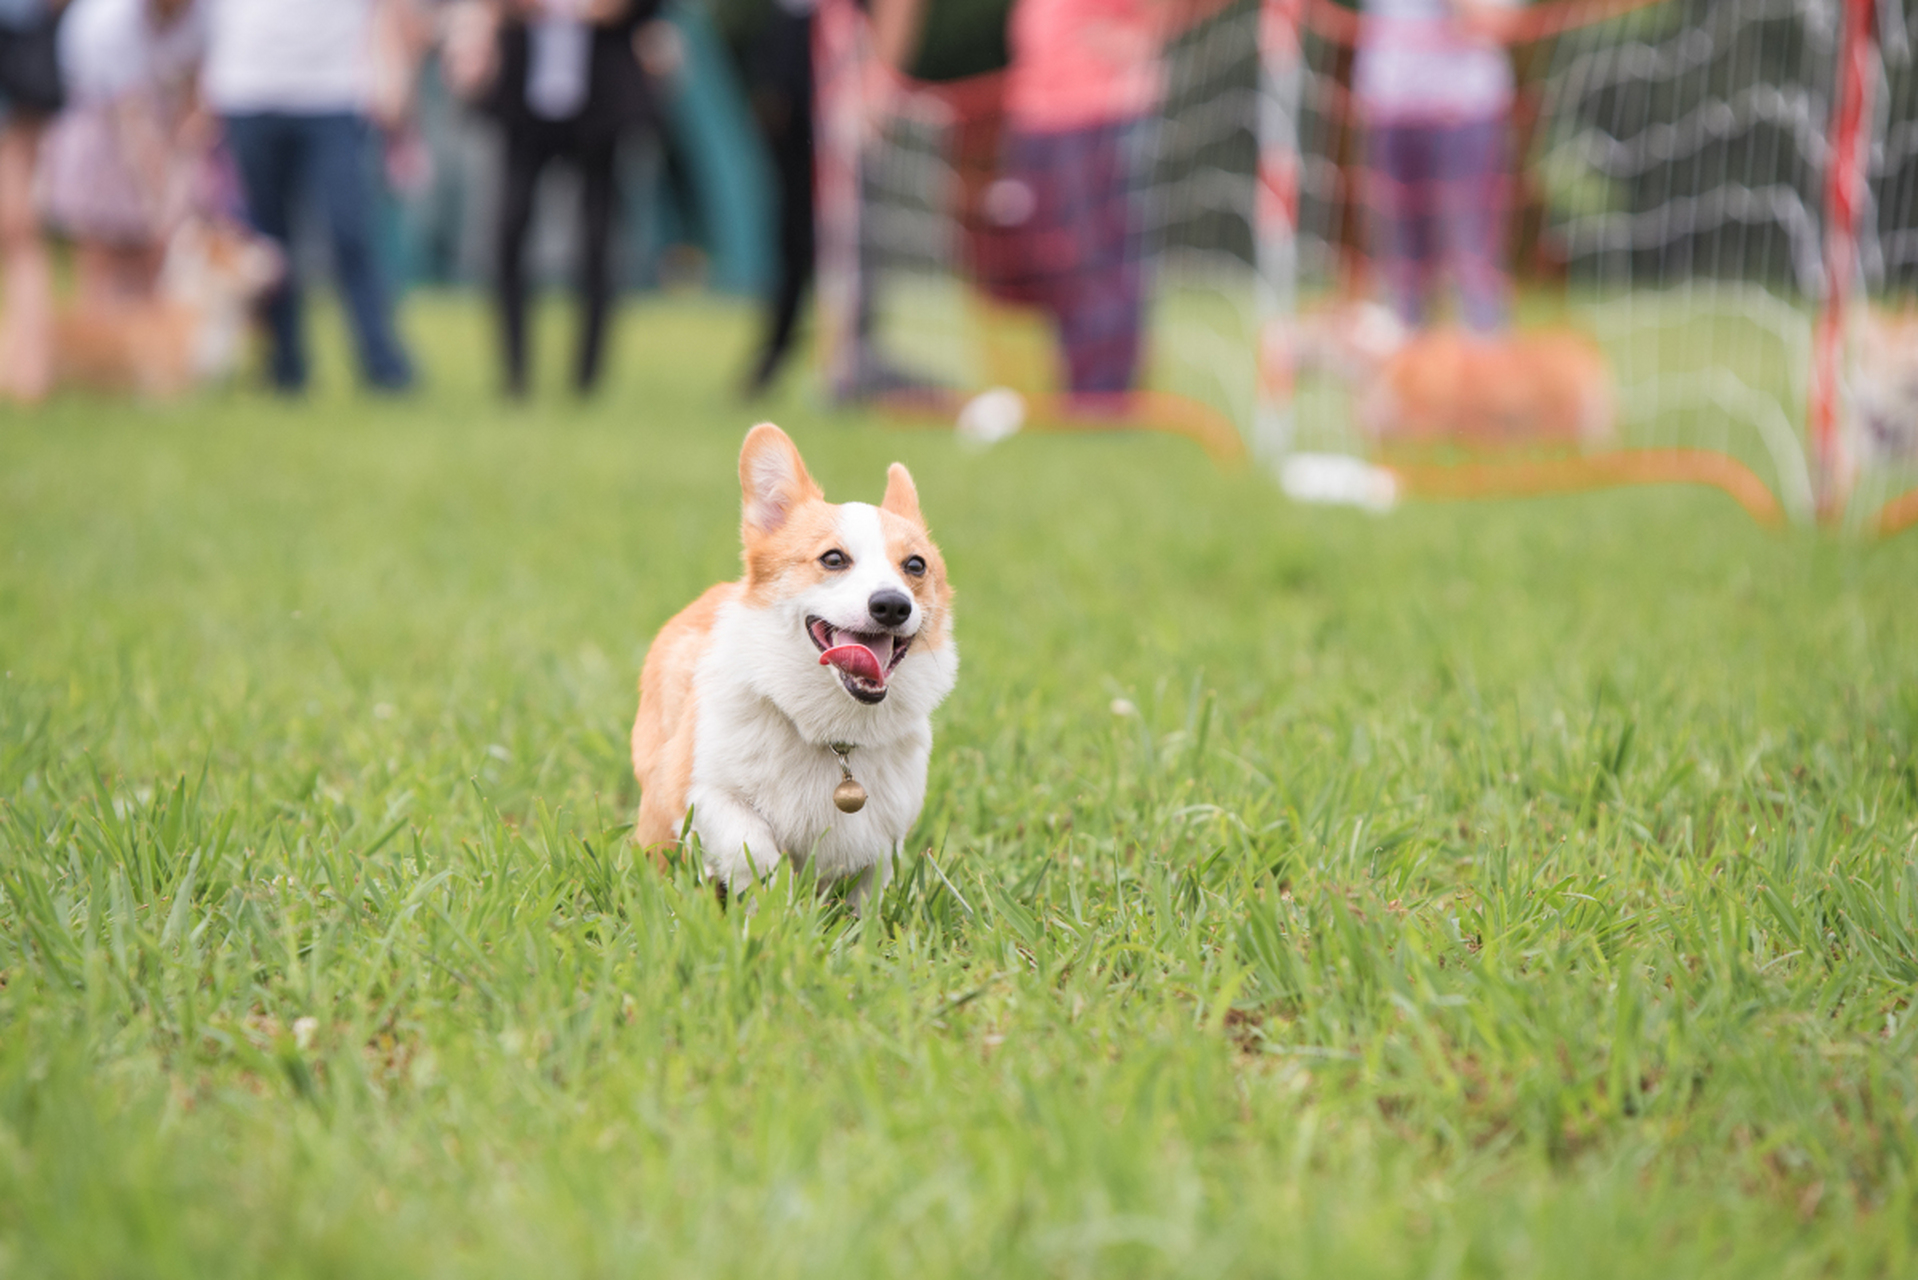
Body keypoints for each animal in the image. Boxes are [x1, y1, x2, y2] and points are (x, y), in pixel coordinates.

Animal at [629, 426, 959, 905]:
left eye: (916, 565)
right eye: (833, 559)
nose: (893, 605)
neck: (832, 731)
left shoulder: (884, 834)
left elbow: (869, 895)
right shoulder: (700, 792)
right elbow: (753, 849)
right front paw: (777, 906)